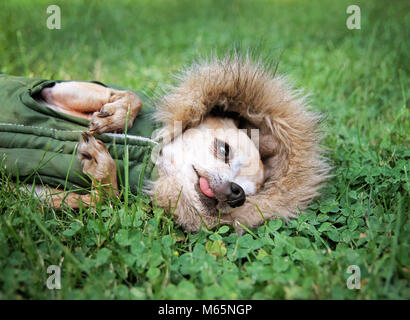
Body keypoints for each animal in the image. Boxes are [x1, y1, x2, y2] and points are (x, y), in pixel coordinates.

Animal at [0, 55, 330, 232]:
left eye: (249, 195)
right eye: (224, 150)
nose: (237, 194)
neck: (154, 158)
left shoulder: (31, 192)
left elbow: (104, 200)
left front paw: (103, 173)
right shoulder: (50, 91)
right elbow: (133, 96)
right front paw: (117, 114)